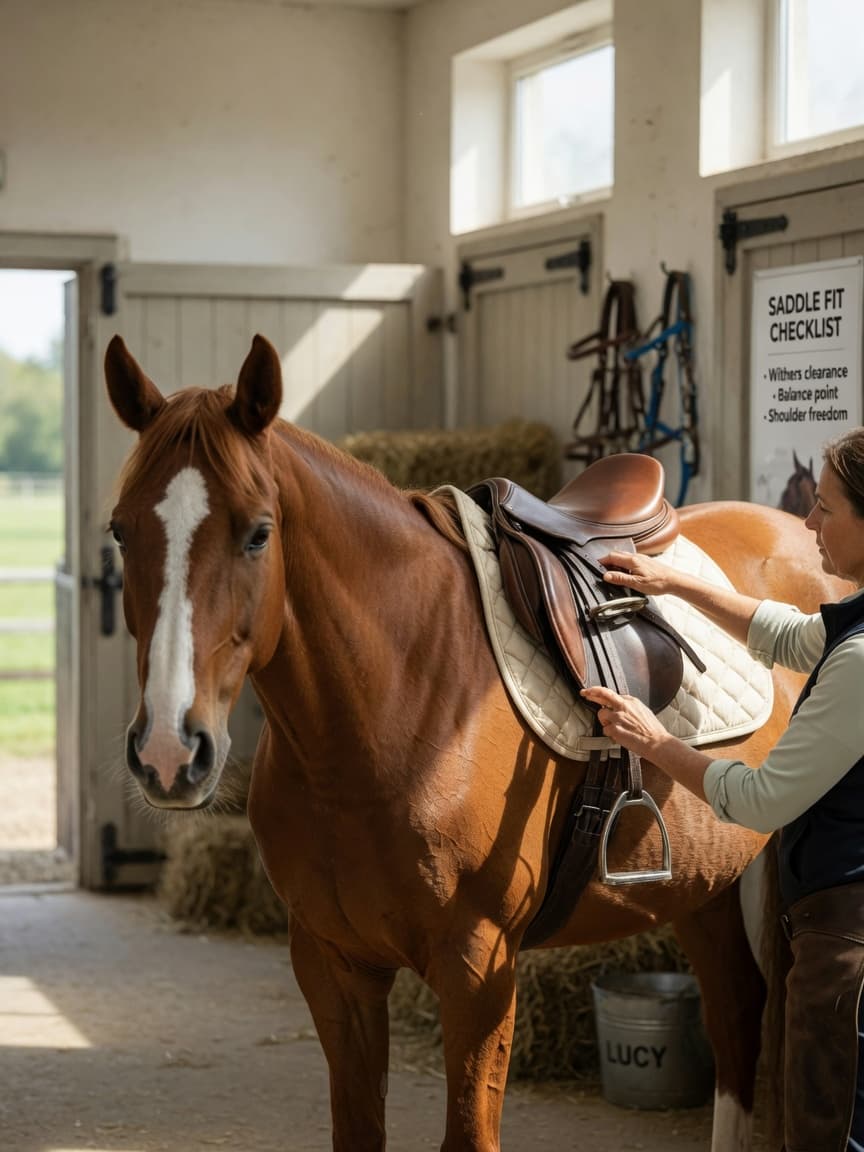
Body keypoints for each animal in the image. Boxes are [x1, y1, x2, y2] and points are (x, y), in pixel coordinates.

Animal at [104, 333, 845, 1152]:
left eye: (258, 532)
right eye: (121, 530)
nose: (170, 752)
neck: (391, 711)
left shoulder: (478, 970)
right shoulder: (332, 964)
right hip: (701, 879)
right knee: (738, 1012)